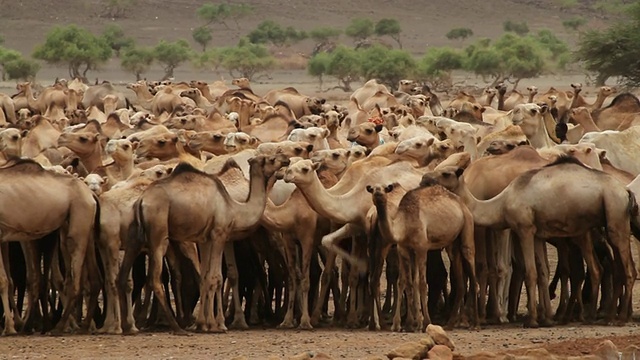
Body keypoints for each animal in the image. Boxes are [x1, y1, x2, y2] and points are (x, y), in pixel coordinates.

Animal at [0, 159, 99, 336]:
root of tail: (90, 193)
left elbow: (3, 280)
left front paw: (10, 328)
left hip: (77, 224)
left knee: (75, 281)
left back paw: (58, 327)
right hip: (87, 229)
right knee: (94, 278)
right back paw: (83, 326)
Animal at [117, 153, 290, 334]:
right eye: (271, 159)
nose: (286, 158)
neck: (233, 208)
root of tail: (141, 201)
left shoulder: (205, 239)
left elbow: (204, 278)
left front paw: (203, 324)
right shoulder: (219, 234)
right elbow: (215, 277)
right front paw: (215, 325)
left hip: (134, 237)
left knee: (122, 276)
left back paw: (128, 326)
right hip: (158, 233)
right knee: (154, 279)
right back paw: (177, 327)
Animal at [368, 180, 478, 332]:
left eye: (384, 189)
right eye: (372, 189)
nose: (378, 193)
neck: (404, 223)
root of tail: (462, 204)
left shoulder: (421, 248)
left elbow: (421, 283)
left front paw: (424, 322)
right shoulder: (404, 248)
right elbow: (408, 283)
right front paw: (410, 324)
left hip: (467, 226)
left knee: (471, 265)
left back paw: (475, 324)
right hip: (453, 243)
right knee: (460, 280)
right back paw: (450, 324)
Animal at [428, 156, 636, 328]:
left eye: (446, 173)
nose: (426, 179)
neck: (502, 203)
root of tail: (625, 191)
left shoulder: (525, 229)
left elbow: (530, 272)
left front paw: (532, 320)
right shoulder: (537, 234)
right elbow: (540, 271)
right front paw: (545, 318)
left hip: (614, 212)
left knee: (625, 269)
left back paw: (619, 318)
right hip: (603, 222)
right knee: (607, 268)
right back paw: (601, 317)